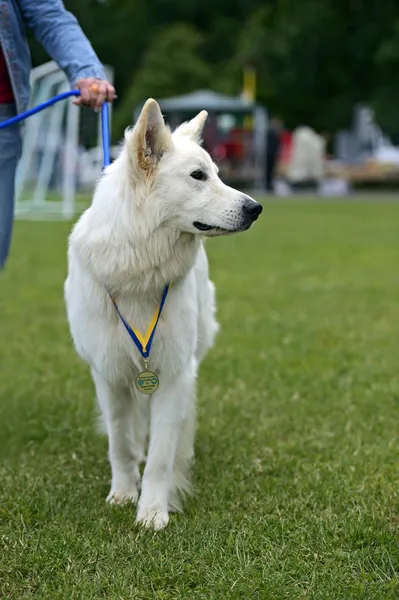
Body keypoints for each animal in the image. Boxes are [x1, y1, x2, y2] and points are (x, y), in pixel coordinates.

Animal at [65, 99, 262, 528]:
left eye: (217, 173)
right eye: (198, 176)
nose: (256, 208)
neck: (138, 270)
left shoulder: (173, 372)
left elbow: (161, 454)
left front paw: (153, 510)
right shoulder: (108, 374)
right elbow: (120, 442)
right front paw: (123, 493)